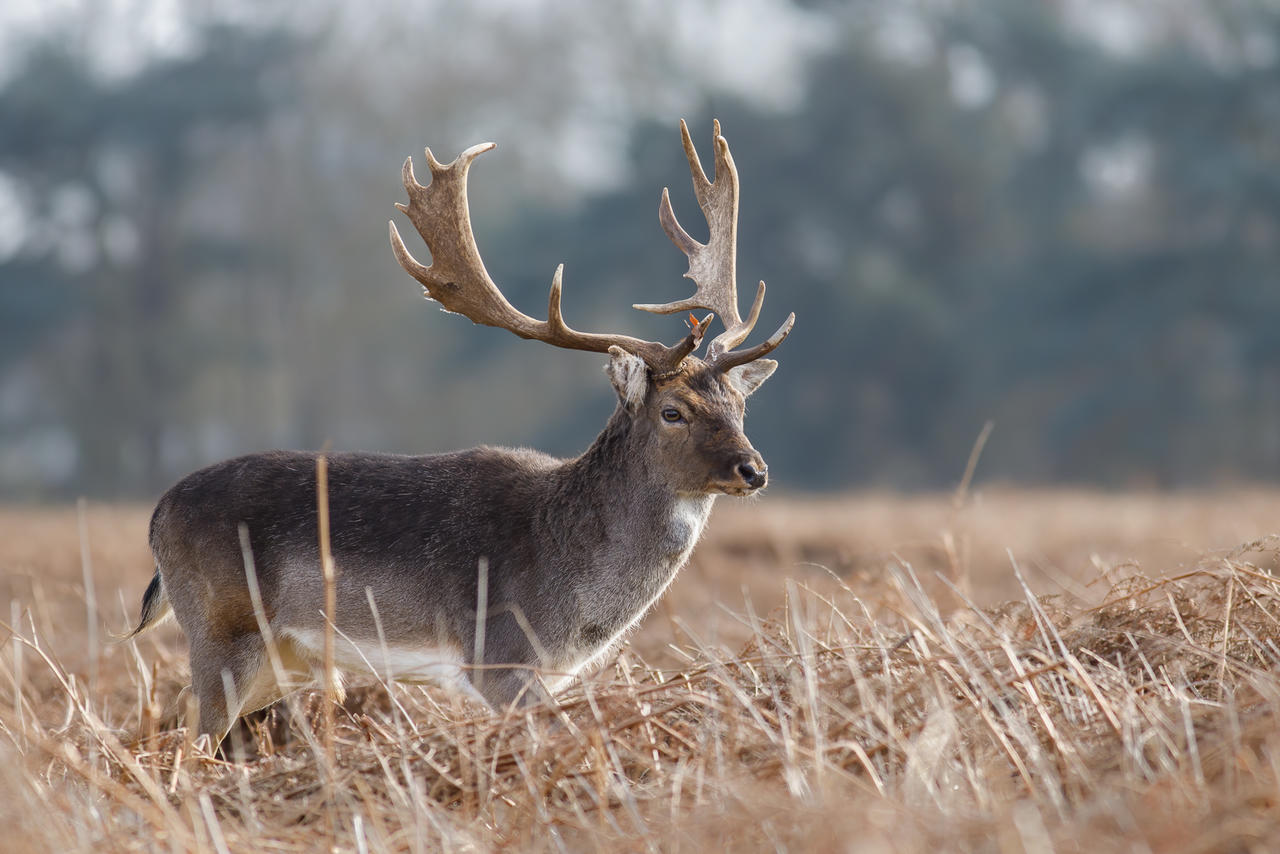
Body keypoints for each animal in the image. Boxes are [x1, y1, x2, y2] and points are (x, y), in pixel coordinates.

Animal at [129, 120, 788, 747]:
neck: (571, 588)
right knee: (190, 738)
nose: (753, 469)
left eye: (740, 405)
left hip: (278, 660)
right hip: (223, 628)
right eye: (672, 411)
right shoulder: (499, 655)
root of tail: (158, 516)